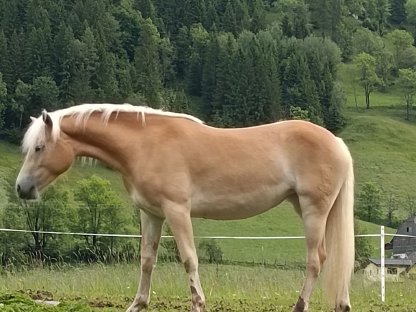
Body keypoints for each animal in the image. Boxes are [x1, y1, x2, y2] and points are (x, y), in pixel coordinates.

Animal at [15, 104, 354, 312]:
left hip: (313, 210)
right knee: (337, 258)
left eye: (39, 147)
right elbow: (147, 260)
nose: (21, 188)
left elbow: (189, 260)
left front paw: (198, 304)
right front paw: (137, 304)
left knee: (316, 260)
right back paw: (342, 304)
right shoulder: (151, 213)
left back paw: (300, 306)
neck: (144, 144)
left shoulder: (177, 211)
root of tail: (337, 142)